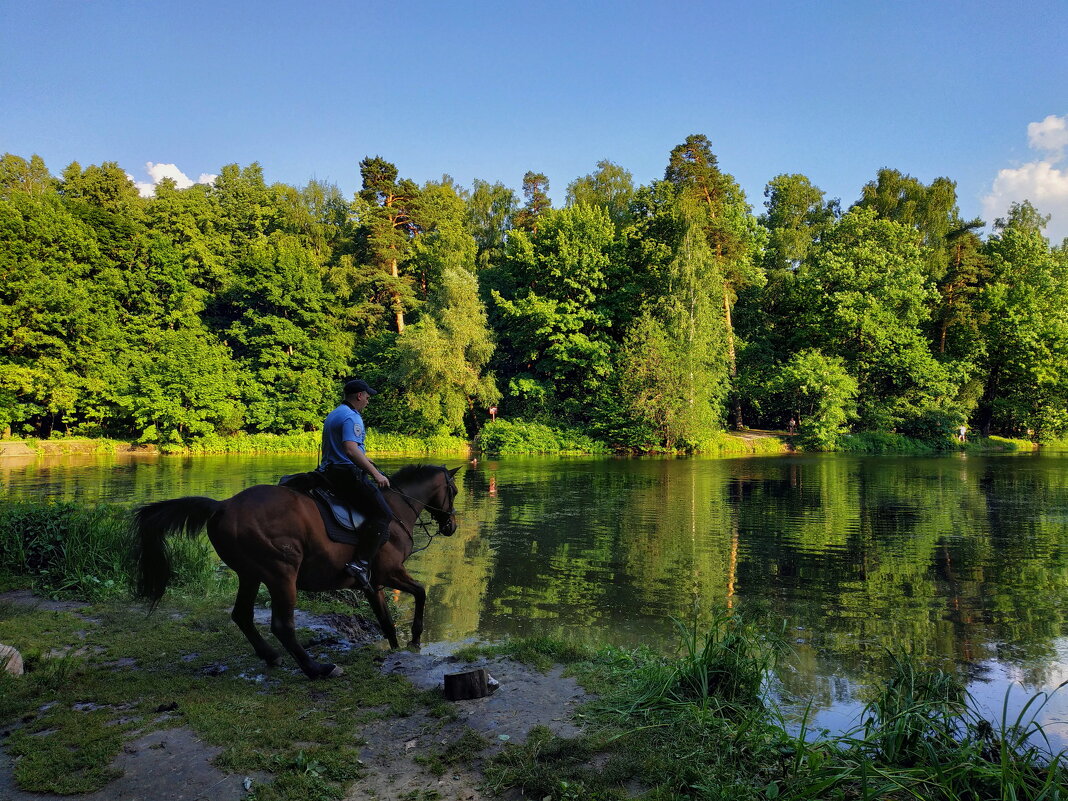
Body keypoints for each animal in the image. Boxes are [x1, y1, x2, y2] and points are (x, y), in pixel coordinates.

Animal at [132, 463, 459, 679]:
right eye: (453, 491)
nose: (451, 526)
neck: (396, 511)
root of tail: (222, 505)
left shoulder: (373, 583)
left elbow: (387, 623)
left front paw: (396, 648)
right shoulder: (390, 573)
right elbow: (421, 593)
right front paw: (415, 638)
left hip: (250, 575)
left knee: (242, 615)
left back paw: (271, 656)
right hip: (281, 574)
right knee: (282, 626)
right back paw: (318, 669)